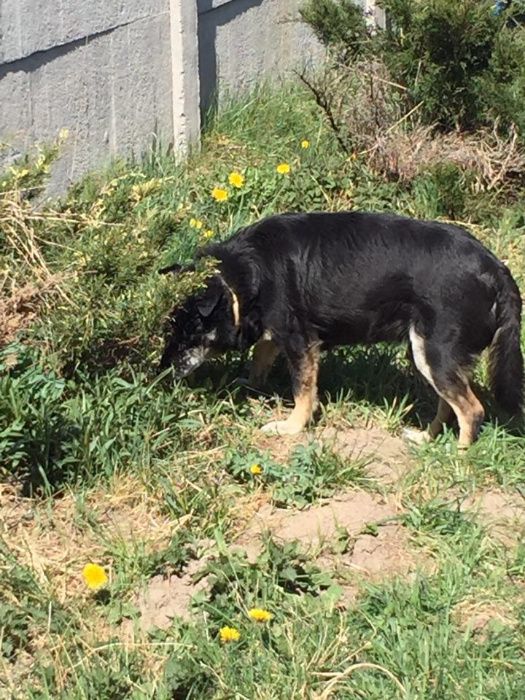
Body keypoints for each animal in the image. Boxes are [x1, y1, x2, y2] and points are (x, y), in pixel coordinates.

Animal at [158, 211, 520, 446]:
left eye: (185, 334)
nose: (160, 375)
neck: (244, 274)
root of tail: (497, 269)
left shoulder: (300, 342)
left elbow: (303, 392)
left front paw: (291, 427)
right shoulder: (278, 334)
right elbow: (260, 358)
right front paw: (250, 386)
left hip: (434, 351)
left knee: (472, 409)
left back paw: (457, 457)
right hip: (429, 353)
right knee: (452, 402)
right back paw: (426, 438)